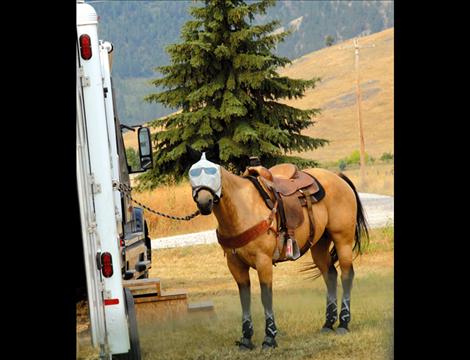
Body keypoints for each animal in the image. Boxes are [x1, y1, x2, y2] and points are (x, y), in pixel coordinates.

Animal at [189, 153, 370, 350]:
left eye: (213, 173)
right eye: (192, 174)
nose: (204, 202)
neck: (242, 207)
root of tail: (338, 177)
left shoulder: (263, 261)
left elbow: (266, 296)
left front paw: (269, 338)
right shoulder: (235, 264)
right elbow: (244, 299)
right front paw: (246, 340)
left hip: (342, 239)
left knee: (346, 275)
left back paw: (343, 323)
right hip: (320, 244)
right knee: (330, 275)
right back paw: (328, 324)